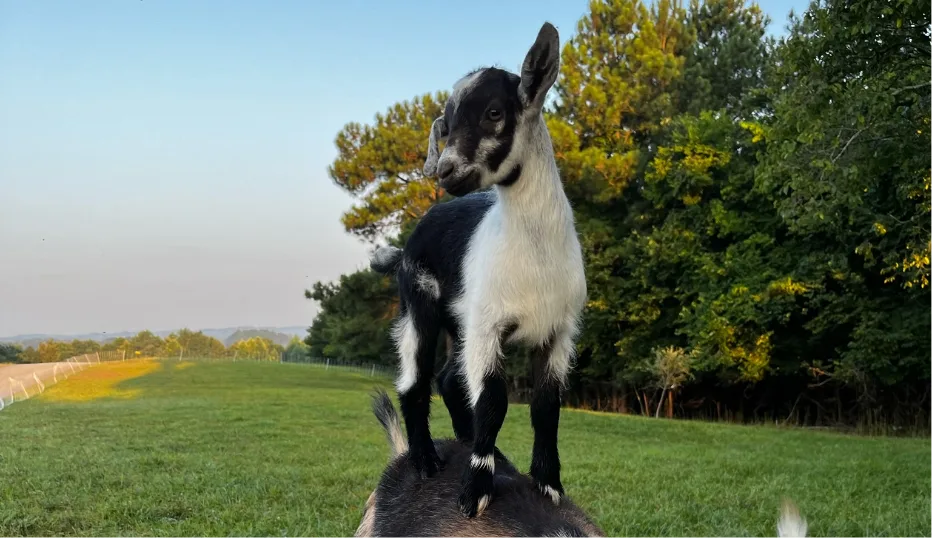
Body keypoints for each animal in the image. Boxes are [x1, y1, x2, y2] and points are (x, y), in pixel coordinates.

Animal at [369, 21, 587, 517]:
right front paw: (475, 492)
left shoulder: (557, 332)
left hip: (460, 320)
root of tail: (408, 241)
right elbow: (493, 401)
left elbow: (547, 406)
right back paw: (426, 459)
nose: (446, 171)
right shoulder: (489, 326)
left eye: (493, 112)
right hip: (421, 305)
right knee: (415, 381)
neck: (534, 255)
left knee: (449, 379)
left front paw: (548, 483)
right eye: (446, 125)